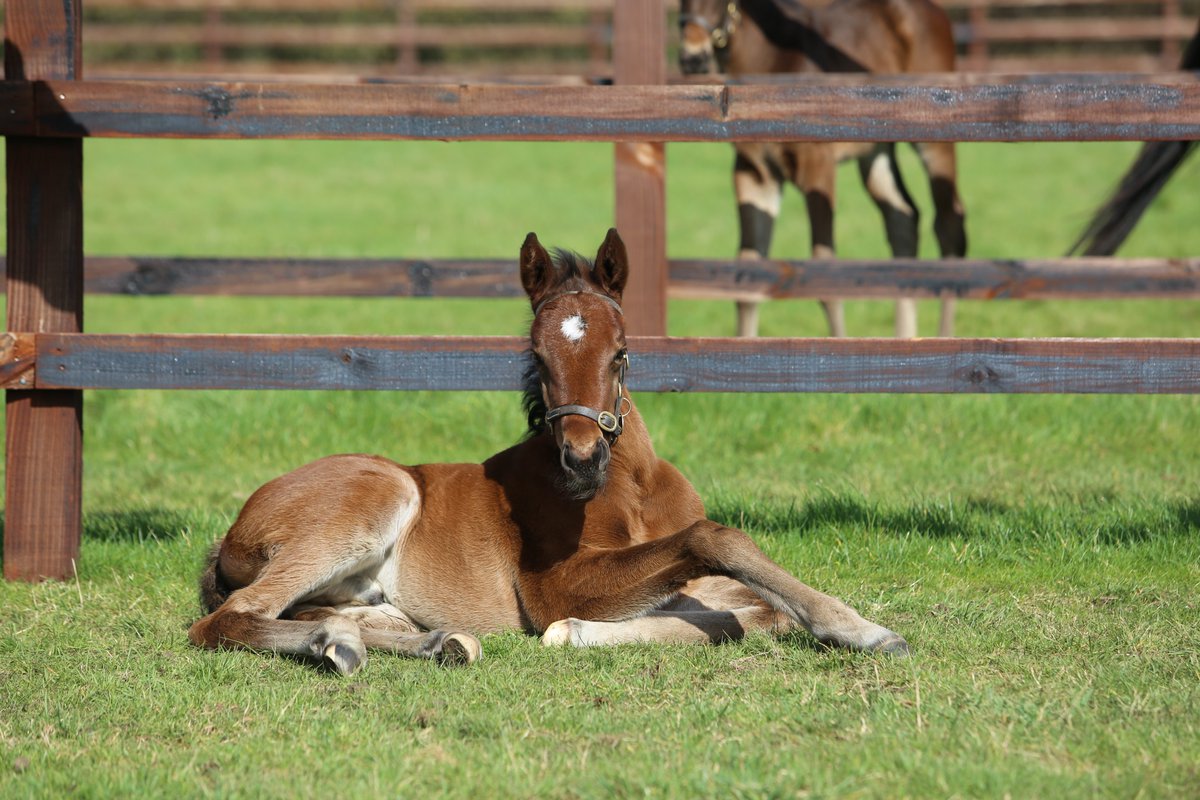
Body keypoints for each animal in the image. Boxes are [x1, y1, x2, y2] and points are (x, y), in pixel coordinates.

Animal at [187, 227, 902, 671]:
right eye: (536, 354)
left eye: (621, 352)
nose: (582, 460)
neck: (632, 486)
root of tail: (231, 533)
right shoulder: (552, 584)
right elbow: (717, 542)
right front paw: (862, 629)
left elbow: (755, 610)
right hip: (380, 492)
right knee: (227, 618)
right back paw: (337, 644)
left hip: (364, 588)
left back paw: (435, 642)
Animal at [676, 0, 964, 338]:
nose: (693, 58)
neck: (772, 61)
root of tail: (937, 13)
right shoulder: (755, 173)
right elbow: (748, 272)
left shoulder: (818, 166)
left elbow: (823, 270)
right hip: (877, 152)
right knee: (902, 216)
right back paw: (906, 338)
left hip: (935, 140)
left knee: (949, 224)